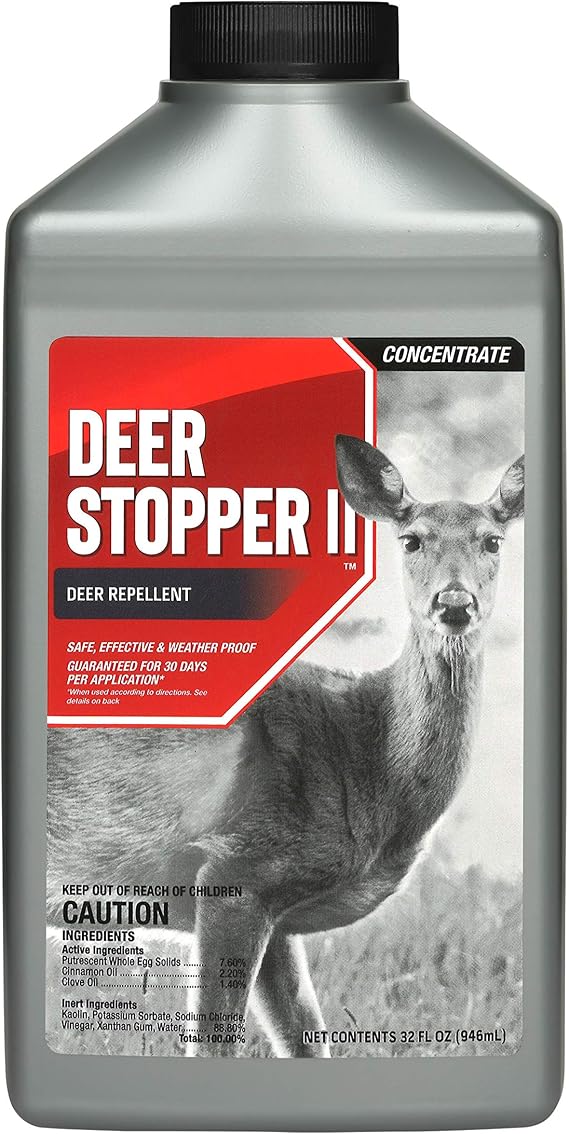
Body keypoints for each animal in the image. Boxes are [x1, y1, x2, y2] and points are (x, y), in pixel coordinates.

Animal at [47, 435, 524, 1059]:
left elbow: (307, 1040)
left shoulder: (278, 909)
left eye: (492, 540)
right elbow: (216, 1045)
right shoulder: (239, 864)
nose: (454, 603)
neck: (371, 769)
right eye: (411, 539)